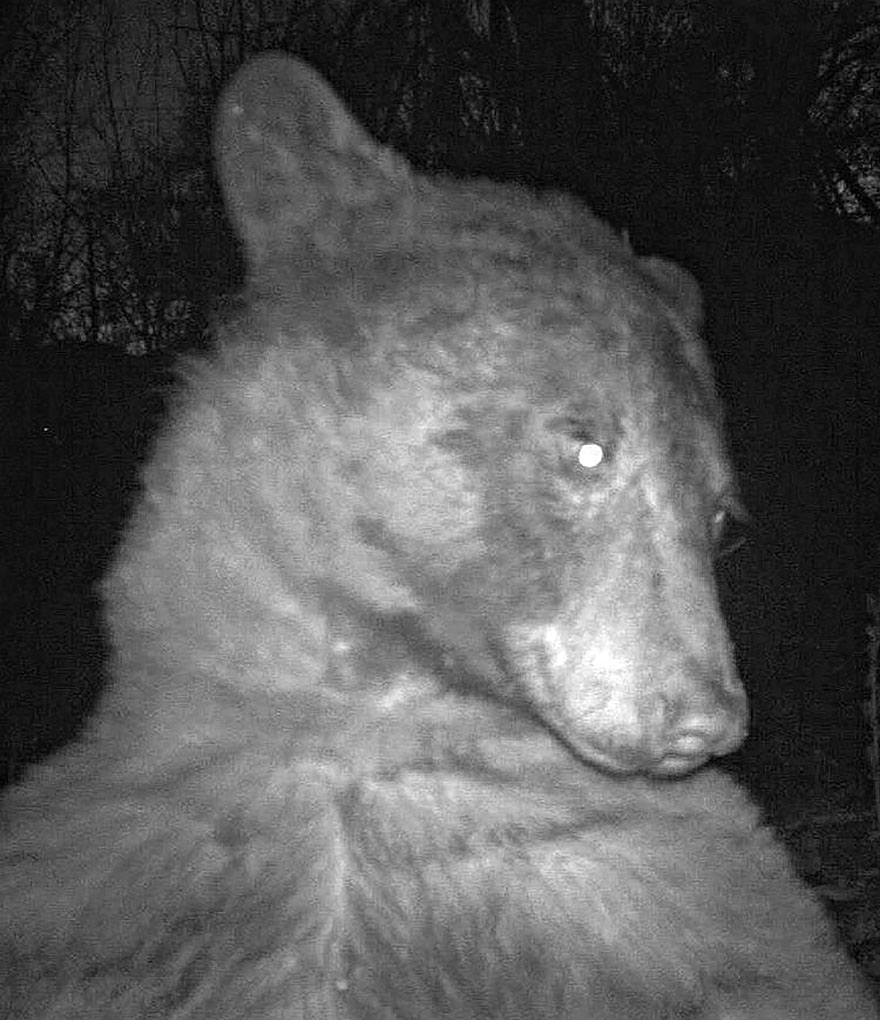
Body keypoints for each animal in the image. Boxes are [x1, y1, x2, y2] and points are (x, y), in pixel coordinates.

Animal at [0, 55, 872, 1020]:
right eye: (588, 447)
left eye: (719, 516)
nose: (707, 715)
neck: (372, 712)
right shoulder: (108, 867)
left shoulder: (674, 896)